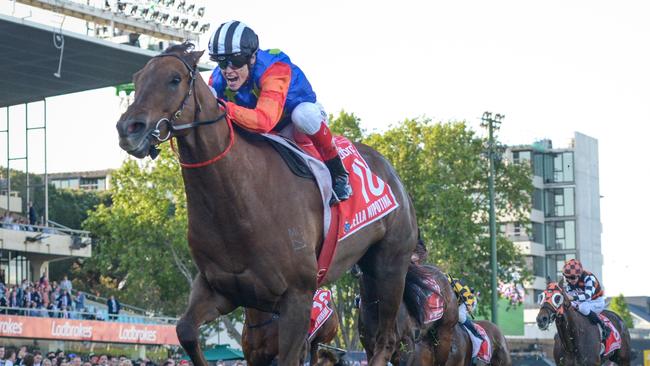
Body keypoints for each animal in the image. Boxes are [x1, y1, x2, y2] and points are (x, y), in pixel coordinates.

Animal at [115, 43, 416, 366]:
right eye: (136, 79)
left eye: (174, 79)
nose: (129, 128)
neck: (240, 203)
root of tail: (389, 167)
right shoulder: (219, 289)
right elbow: (185, 331)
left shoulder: (298, 297)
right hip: (369, 272)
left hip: (391, 264)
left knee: (386, 339)